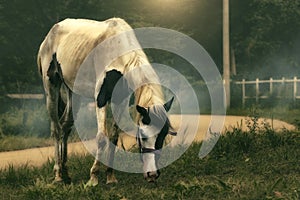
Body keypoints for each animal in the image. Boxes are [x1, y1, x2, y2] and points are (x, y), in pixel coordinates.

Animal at [37, 18, 175, 185]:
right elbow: (102, 138)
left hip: (72, 91)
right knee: (56, 129)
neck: (119, 54)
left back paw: (66, 174)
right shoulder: (101, 98)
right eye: (143, 135)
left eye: (163, 134)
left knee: (65, 125)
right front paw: (93, 177)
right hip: (51, 85)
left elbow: (114, 137)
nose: (152, 174)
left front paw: (110, 177)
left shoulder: (120, 101)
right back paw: (58, 175)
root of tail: (51, 33)